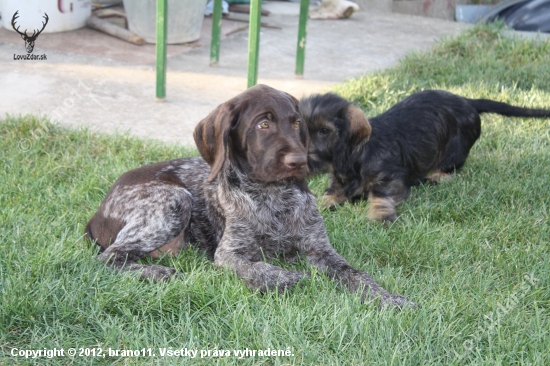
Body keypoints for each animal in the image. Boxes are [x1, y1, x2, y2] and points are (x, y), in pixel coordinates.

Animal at [86, 84, 414, 308]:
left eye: (297, 123)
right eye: (263, 124)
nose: (299, 161)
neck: (274, 196)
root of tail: (98, 212)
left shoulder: (321, 250)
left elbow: (358, 274)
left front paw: (388, 298)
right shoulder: (230, 254)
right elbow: (257, 267)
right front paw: (286, 277)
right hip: (174, 201)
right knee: (108, 258)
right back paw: (158, 273)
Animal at [302, 90, 550, 222]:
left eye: (324, 131)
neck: (352, 157)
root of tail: (467, 100)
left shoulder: (390, 176)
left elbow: (381, 194)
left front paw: (380, 213)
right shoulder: (339, 180)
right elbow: (331, 193)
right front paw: (323, 203)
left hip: (455, 150)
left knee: (450, 170)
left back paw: (434, 178)